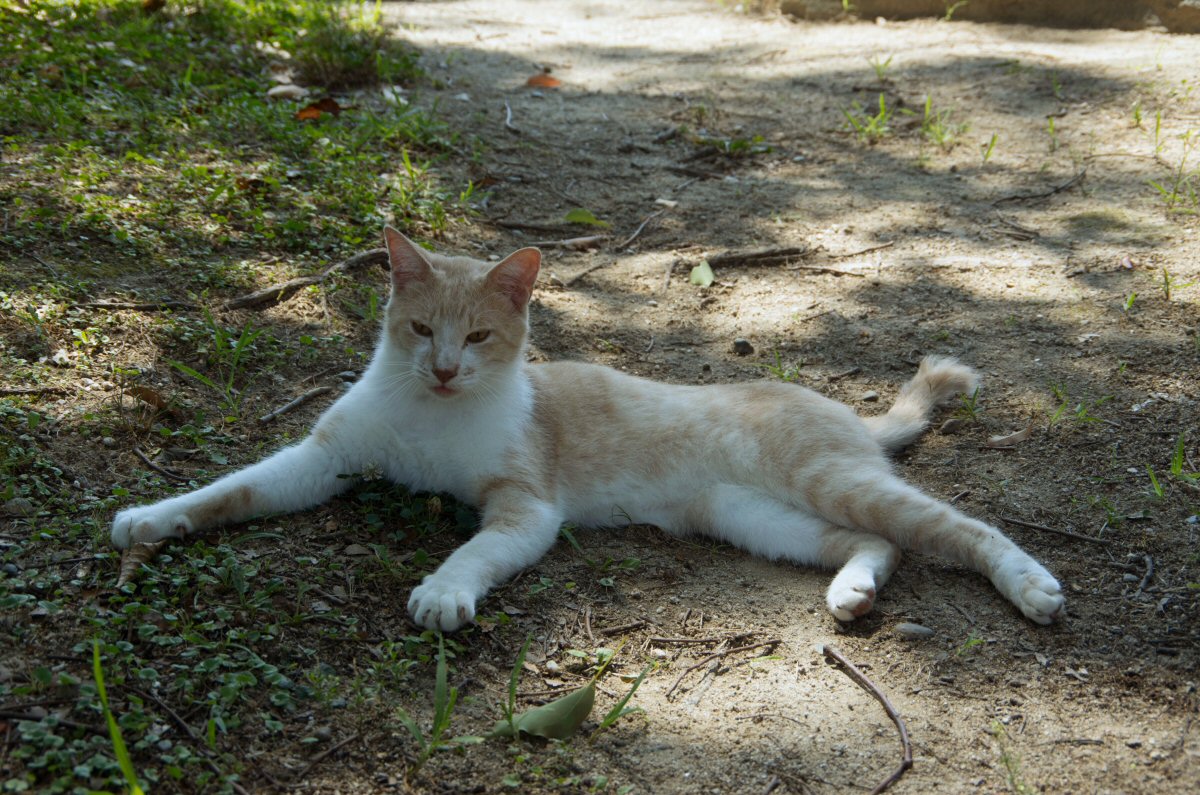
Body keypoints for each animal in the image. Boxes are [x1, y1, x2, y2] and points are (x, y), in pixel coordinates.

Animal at [112, 226, 1065, 634]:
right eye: (421, 330)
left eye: (479, 337)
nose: (446, 368)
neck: (432, 412)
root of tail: (839, 410)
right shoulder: (323, 460)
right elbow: (233, 487)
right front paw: (151, 519)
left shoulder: (526, 507)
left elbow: (473, 551)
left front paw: (443, 592)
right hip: (762, 521)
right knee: (877, 544)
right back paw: (853, 590)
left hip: (832, 482)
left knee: (962, 528)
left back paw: (1032, 586)